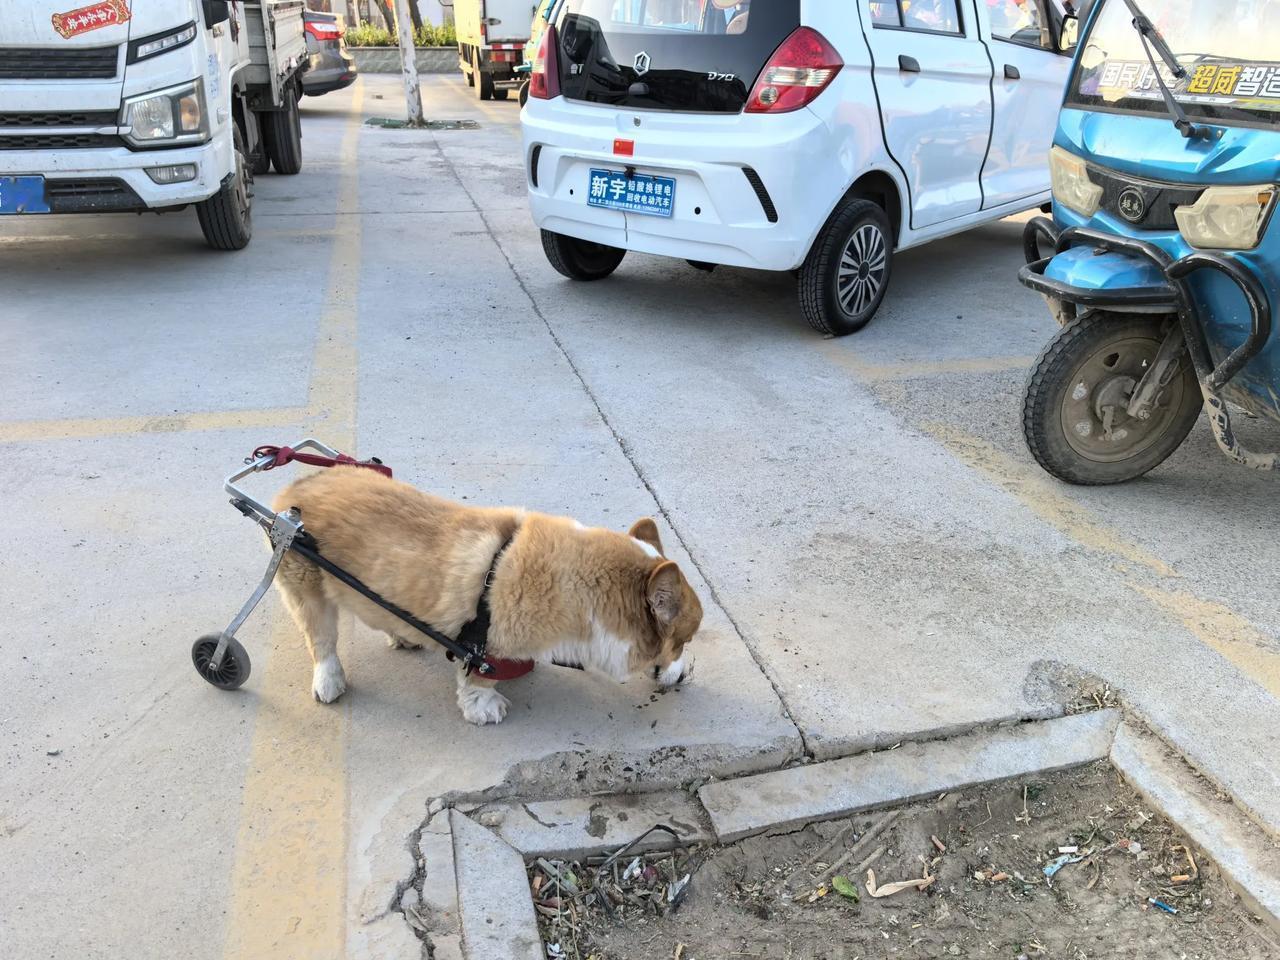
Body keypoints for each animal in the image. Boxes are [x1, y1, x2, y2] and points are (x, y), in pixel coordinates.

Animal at [268, 471, 701, 727]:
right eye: (683, 641)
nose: (684, 679)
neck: (582, 585)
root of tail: (293, 488)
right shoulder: (483, 646)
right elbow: (478, 679)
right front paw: (484, 706)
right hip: (307, 592)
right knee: (322, 640)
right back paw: (329, 679)